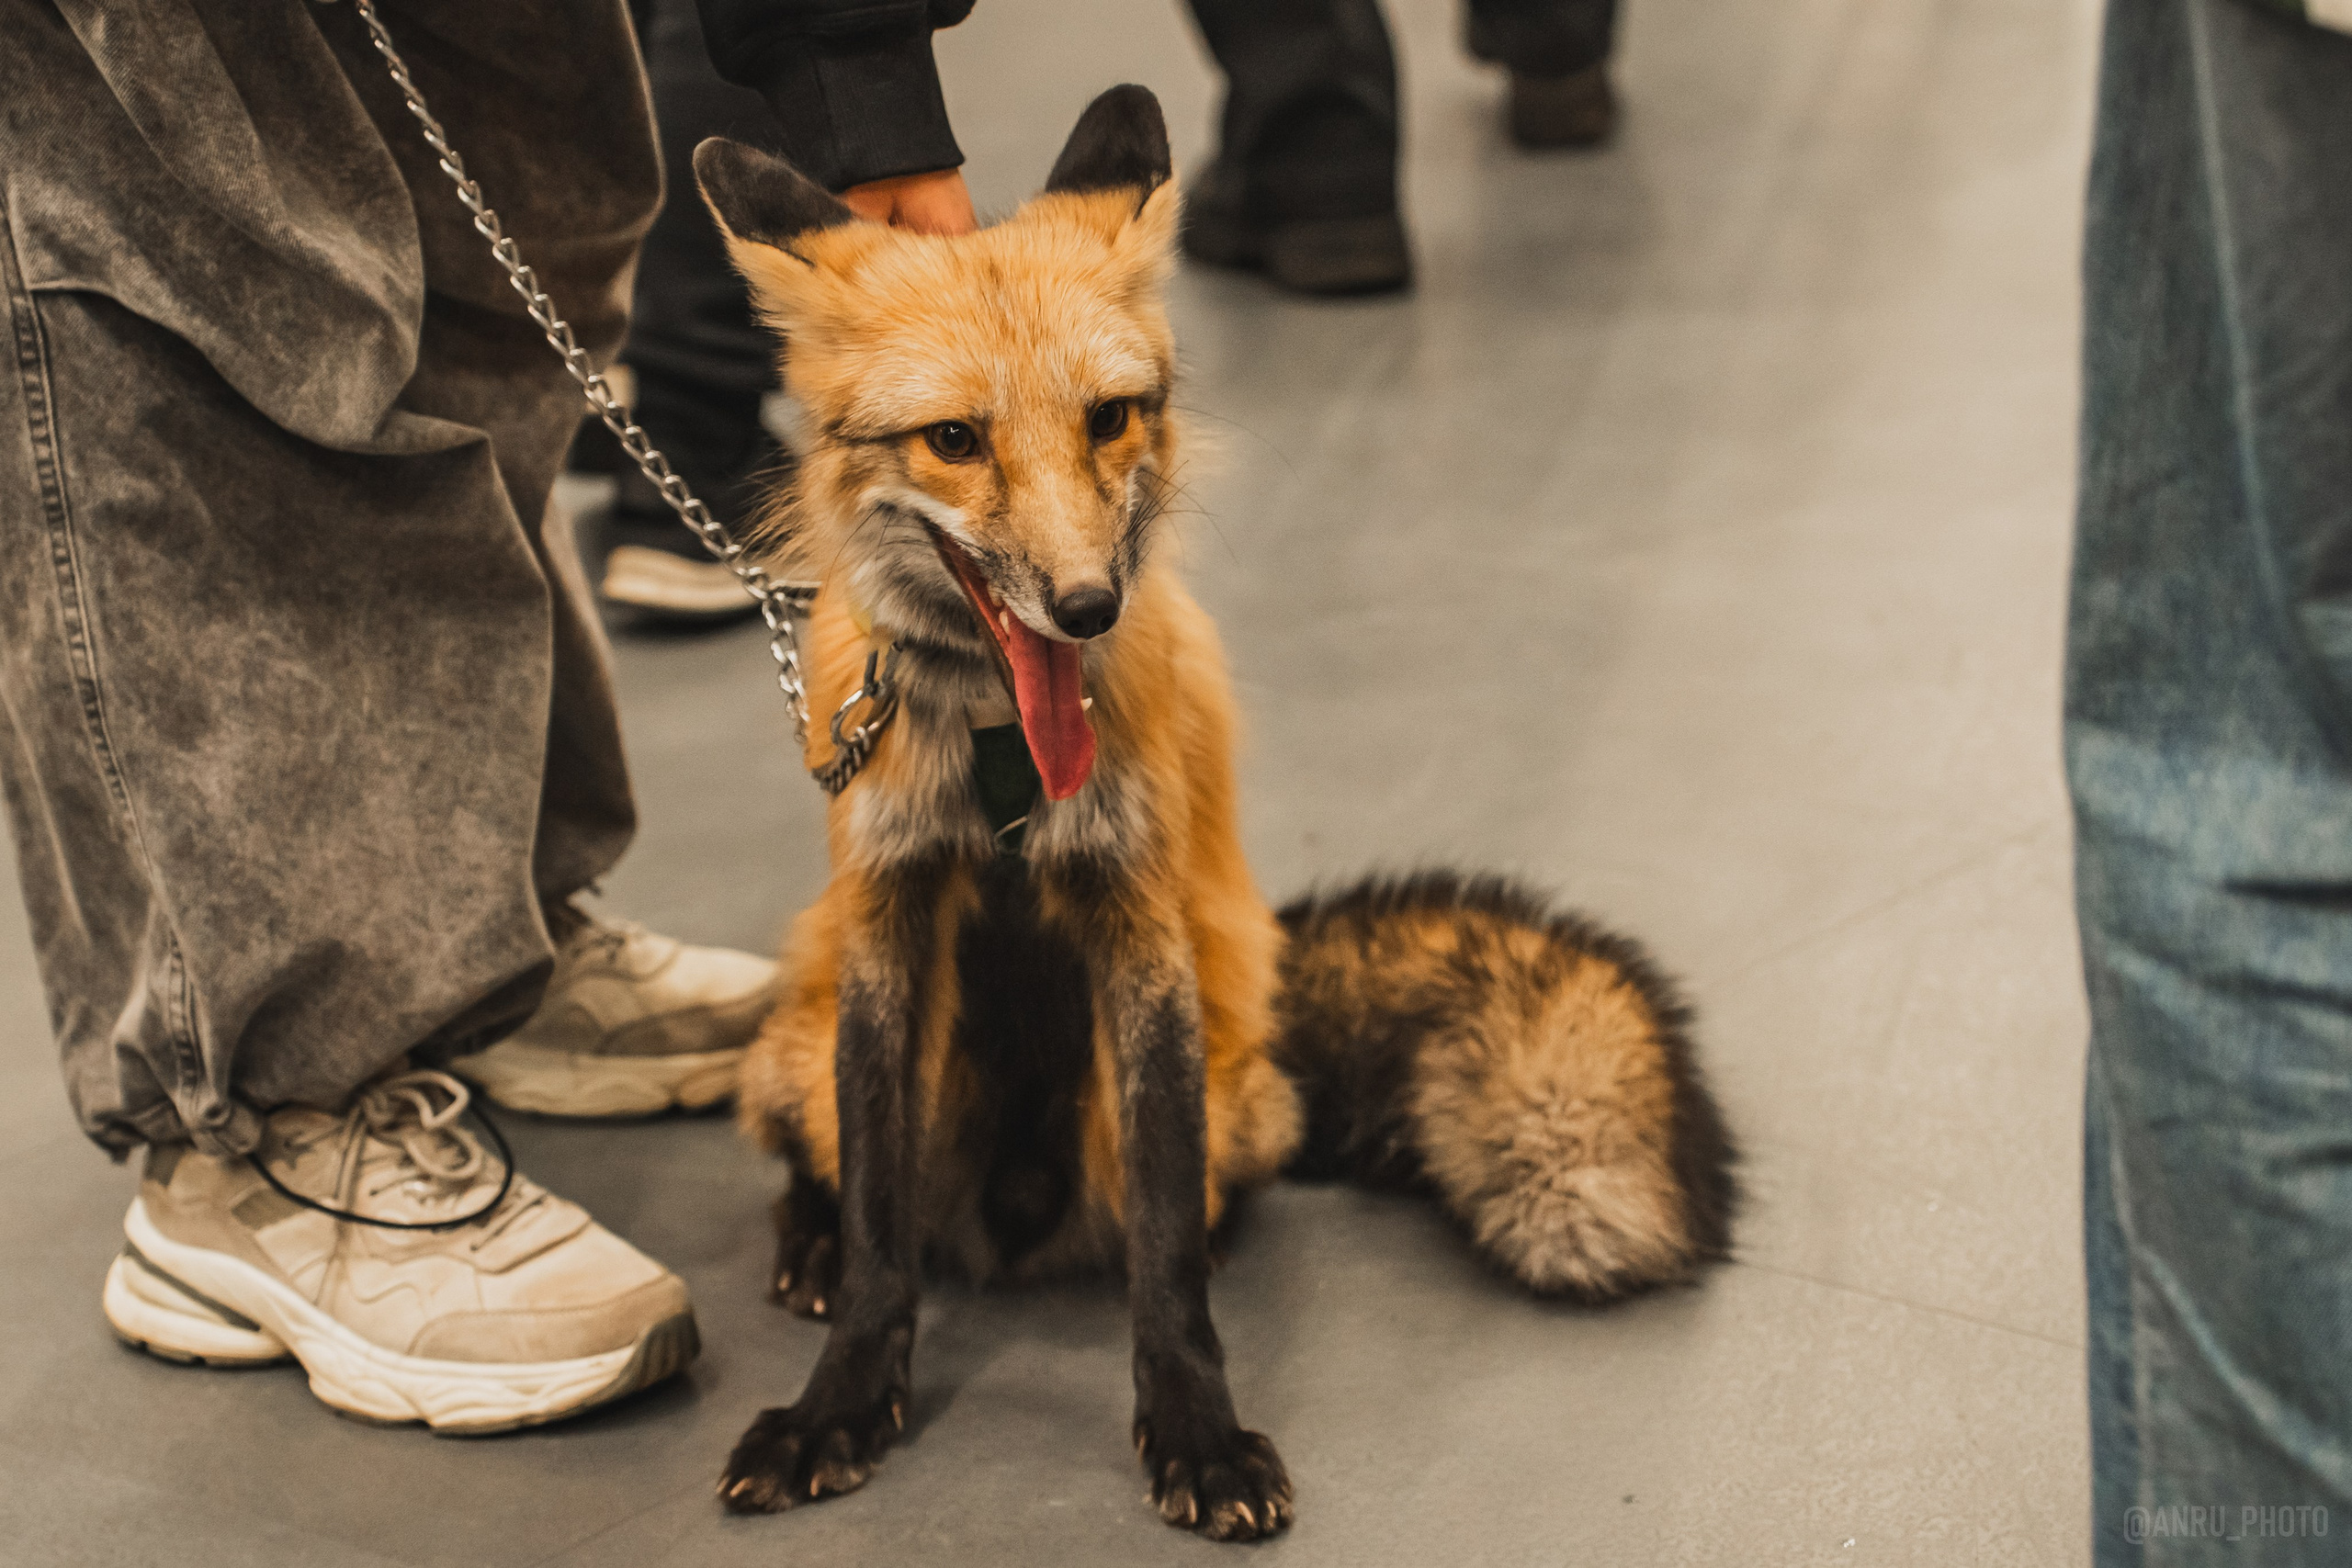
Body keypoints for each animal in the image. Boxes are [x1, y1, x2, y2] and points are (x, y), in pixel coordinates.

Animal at [692, 86, 1737, 1542]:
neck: (1004, 765)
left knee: (1196, 1189)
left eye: (1109, 418)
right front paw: (841, 1401)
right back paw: (803, 1242)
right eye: (954, 440)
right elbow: (882, 1228)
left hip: (1232, 1082)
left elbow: (1166, 1247)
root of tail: (1014, 1220)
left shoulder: (1142, 926)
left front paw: (1195, 1429)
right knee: (827, 1160)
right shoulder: (891, 926)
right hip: (807, 1033)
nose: (1085, 607)